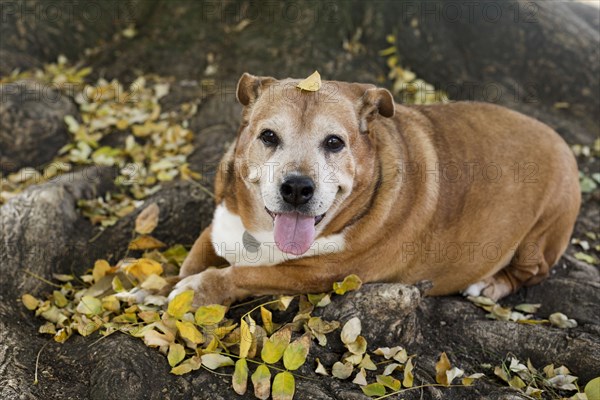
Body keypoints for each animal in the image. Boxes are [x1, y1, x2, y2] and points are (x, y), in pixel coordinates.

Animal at [166, 73, 580, 308]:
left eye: (334, 142)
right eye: (268, 136)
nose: (297, 187)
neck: (262, 232)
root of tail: (561, 140)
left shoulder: (319, 274)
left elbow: (241, 274)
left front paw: (195, 291)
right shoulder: (220, 220)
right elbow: (195, 254)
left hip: (541, 232)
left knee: (532, 272)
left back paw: (490, 286)